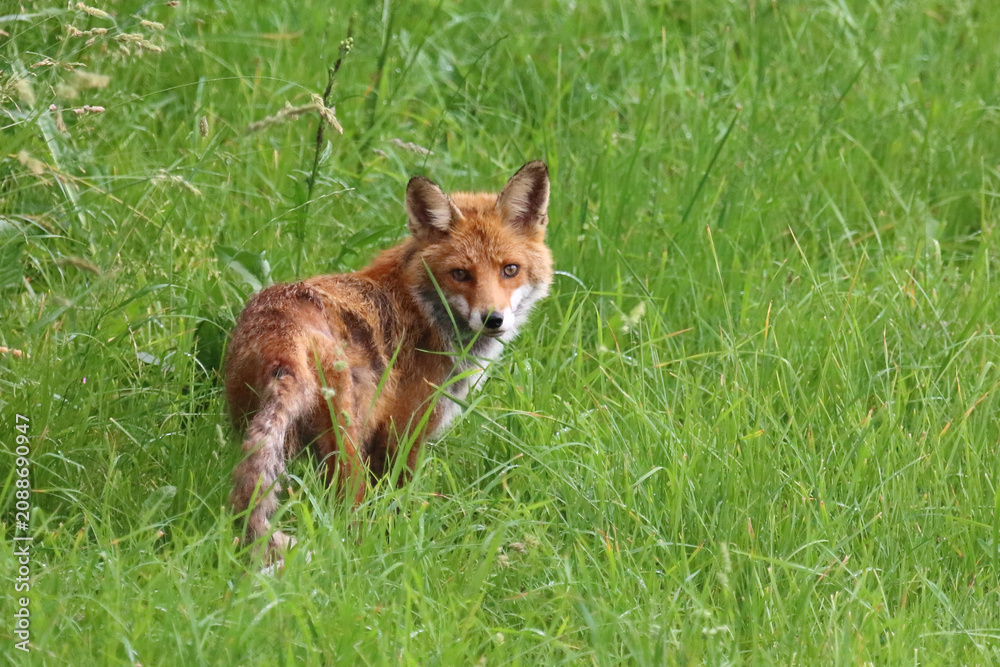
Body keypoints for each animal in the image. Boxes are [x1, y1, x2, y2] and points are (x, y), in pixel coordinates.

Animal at [225, 161, 553, 558]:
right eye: (460, 274)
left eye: (510, 269)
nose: (493, 319)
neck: (424, 309)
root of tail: (281, 333)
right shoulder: (404, 432)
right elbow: (400, 498)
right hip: (347, 441)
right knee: (348, 509)